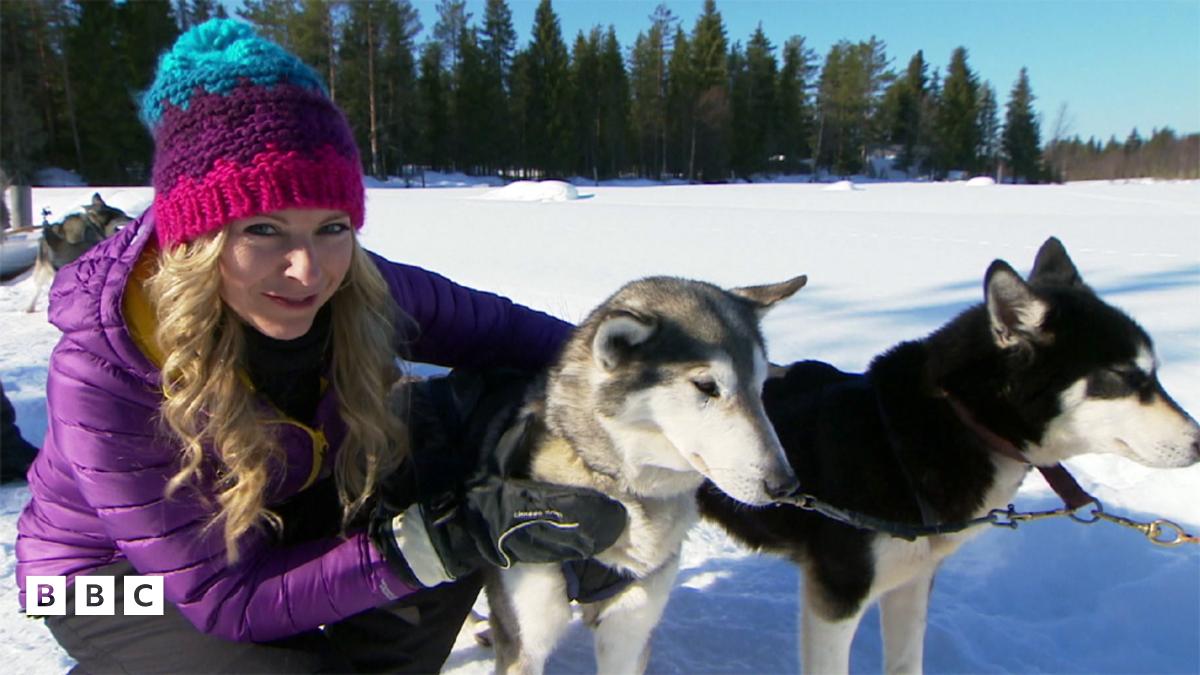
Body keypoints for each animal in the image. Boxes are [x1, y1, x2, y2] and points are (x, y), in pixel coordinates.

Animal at [472, 274, 807, 675]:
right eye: (706, 386)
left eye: (760, 387)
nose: (785, 484)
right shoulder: (526, 641)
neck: (618, 489)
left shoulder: (630, 631)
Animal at [698, 237, 1200, 674]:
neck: (908, 436)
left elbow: (906, 663)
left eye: (1154, 372)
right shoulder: (837, 598)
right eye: (1124, 376)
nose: (1199, 442)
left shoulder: (912, 581)